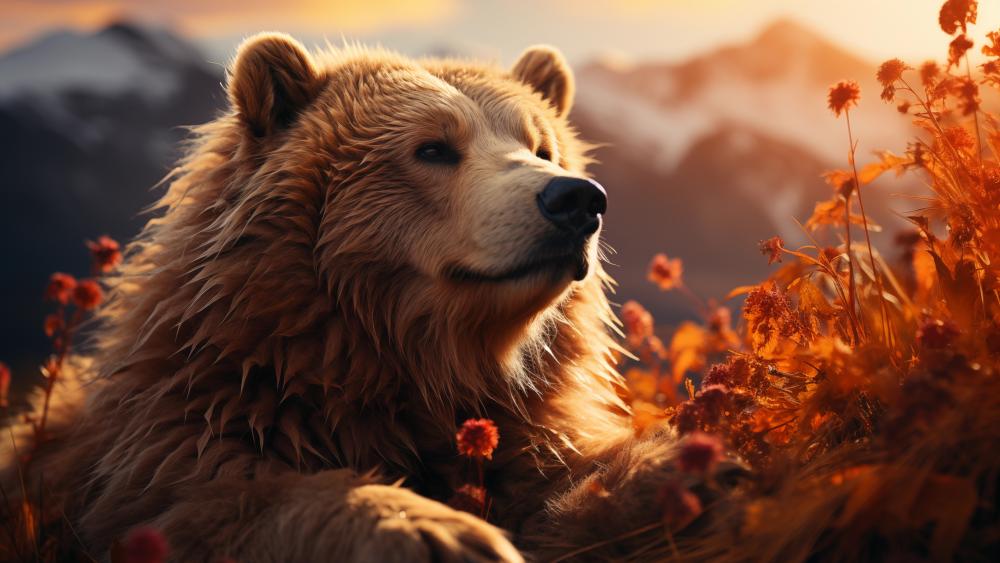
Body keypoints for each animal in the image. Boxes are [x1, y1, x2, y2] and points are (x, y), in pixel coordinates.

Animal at [3, 33, 735, 561]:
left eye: (542, 146)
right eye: (433, 148)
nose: (575, 200)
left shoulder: (520, 433)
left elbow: (561, 484)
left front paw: (696, 469)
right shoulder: (179, 431)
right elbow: (222, 498)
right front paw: (434, 532)